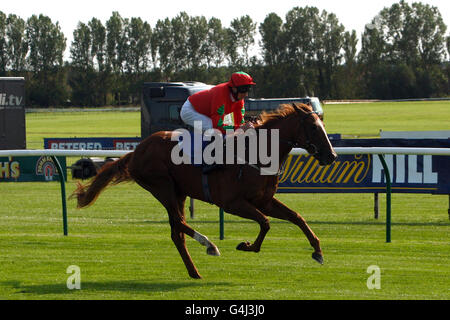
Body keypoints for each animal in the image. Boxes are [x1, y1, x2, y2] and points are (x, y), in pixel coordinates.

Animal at [72, 104, 336, 278]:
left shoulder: (263, 200)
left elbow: (296, 217)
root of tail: (136, 151)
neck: (256, 154)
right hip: (163, 186)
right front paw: (247, 246)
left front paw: (318, 251)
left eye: (323, 125)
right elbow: (265, 222)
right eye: (314, 127)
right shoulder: (232, 203)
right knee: (179, 223)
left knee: (176, 231)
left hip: (178, 192)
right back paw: (209, 245)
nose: (331, 156)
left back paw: (194, 271)